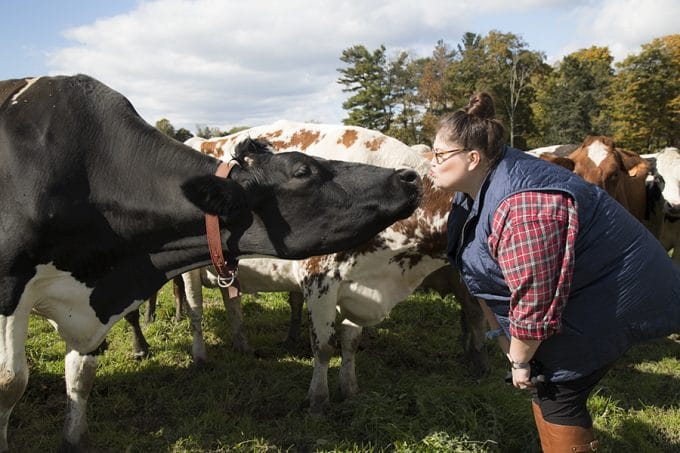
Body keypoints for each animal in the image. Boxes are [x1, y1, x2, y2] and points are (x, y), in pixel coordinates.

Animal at [0, 74, 422, 448]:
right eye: (303, 170)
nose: (408, 177)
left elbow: (80, 375)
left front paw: (74, 438)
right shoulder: (12, 289)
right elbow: (10, 383)